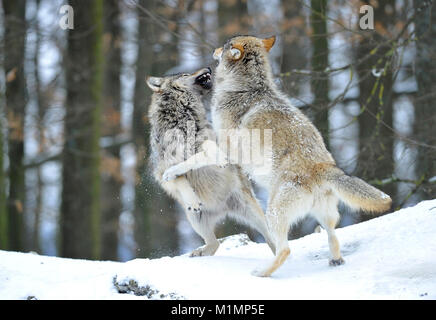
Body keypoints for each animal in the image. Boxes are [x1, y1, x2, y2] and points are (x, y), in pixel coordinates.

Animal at [148, 67, 274, 258]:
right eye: (185, 75)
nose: (208, 68)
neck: (183, 121)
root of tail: (222, 210)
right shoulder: (160, 171)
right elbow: (178, 179)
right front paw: (190, 197)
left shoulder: (220, 146)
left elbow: (205, 149)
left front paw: (214, 156)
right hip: (195, 219)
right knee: (214, 243)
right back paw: (199, 252)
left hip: (254, 212)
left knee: (270, 237)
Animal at [163, 34, 392, 276]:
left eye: (225, 45)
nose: (213, 52)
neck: (246, 88)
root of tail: (323, 167)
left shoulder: (224, 152)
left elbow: (193, 160)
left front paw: (171, 172)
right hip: (322, 216)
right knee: (332, 235)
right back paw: (336, 260)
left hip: (273, 214)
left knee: (285, 250)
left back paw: (261, 273)